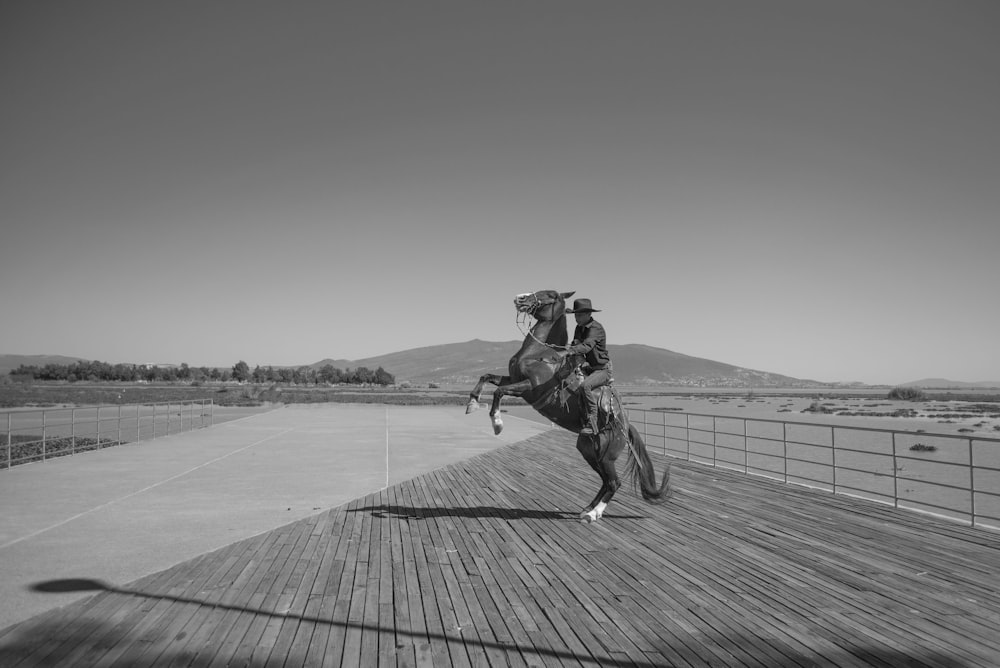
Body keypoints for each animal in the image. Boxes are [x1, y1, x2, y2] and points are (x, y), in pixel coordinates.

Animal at [462, 290, 668, 524]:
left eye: (550, 295)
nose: (520, 298)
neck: (539, 355)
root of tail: (625, 425)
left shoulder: (528, 387)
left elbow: (499, 392)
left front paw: (497, 423)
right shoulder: (512, 379)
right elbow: (486, 376)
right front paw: (472, 403)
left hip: (607, 455)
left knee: (614, 482)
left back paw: (593, 514)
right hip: (590, 451)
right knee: (606, 481)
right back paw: (587, 509)